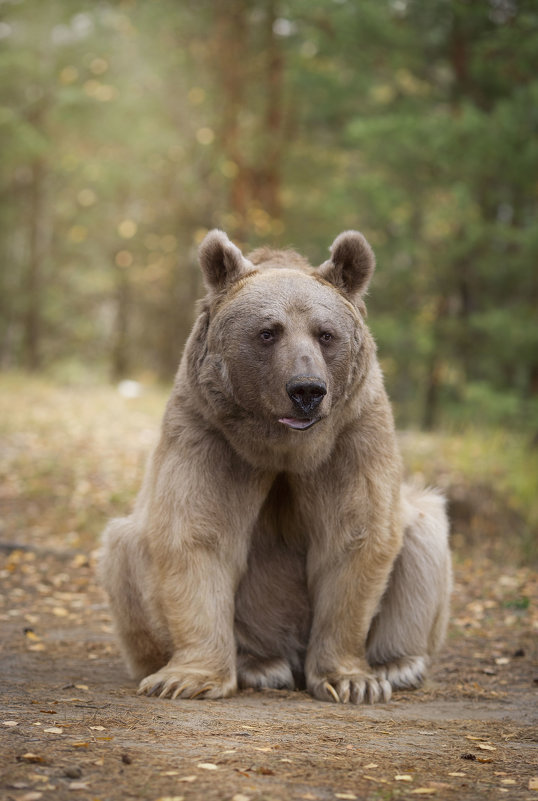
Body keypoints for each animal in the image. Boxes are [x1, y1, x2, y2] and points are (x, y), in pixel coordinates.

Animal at [98, 228, 450, 704]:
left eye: (325, 334)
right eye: (268, 332)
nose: (307, 390)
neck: (284, 447)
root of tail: (290, 651)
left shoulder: (352, 434)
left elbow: (356, 535)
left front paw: (353, 680)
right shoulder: (210, 433)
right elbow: (196, 533)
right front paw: (185, 678)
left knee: (423, 536)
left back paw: (398, 664)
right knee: (127, 547)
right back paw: (258, 665)